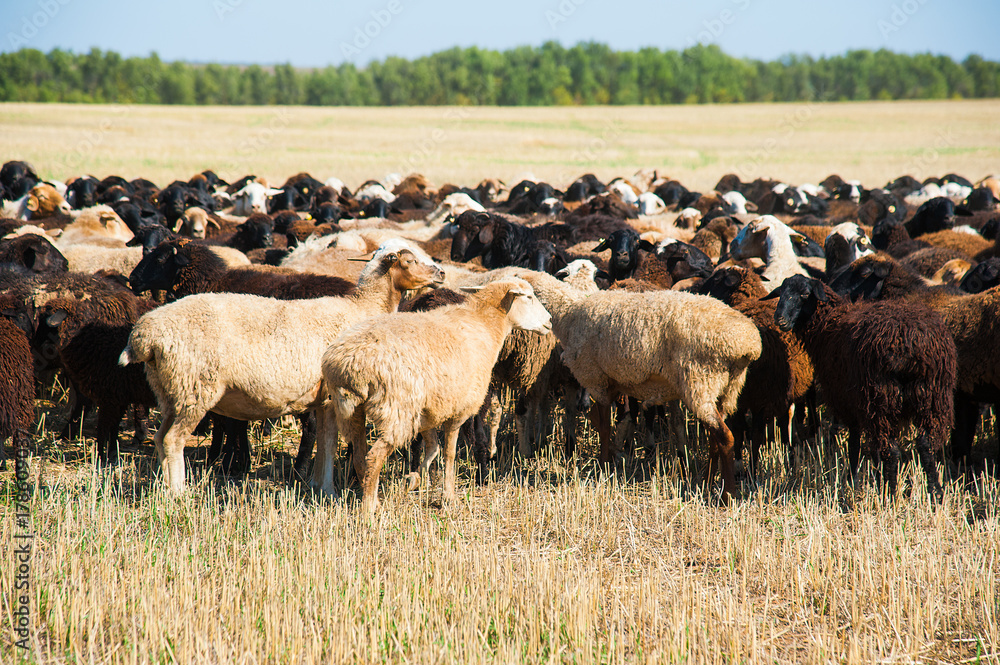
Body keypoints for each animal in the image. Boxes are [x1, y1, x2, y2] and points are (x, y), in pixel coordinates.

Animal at [119, 249, 443, 493]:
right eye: (410, 259)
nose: (441, 273)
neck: (363, 309)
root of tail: (144, 336)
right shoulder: (336, 396)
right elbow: (329, 442)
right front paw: (329, 488)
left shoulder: (323, 400)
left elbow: (324, 440)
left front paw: (319, 486)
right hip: (194, 389)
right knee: (173, 440)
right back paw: (178, 492)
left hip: (170, 391)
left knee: (160, 438)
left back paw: (164, 489)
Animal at [323, 278, 552, 513]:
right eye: (529, 297)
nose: (549, 321)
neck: (484, 324)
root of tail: (347, 363)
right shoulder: (458, 409)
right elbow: (449, 453)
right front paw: (448, 495)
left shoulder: (429, 409)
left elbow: (433, 446)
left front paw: (415, 478)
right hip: (397, 410)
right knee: (373, 457)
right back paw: (369, 509)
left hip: (353, 410)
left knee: (360, 457)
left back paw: (374, 498)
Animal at [765, 275, 957, 497]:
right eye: (781, 292)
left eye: (805, 294)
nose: (779, 319)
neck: (828, 325)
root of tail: (908, 343)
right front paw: (873, 478)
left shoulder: (847, 401)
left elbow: (854, 444)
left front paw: (852, 481)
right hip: (932, 396)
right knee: (926, 445)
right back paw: (936, 493)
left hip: (881, 397)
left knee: (891, 449)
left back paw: (891, 494)